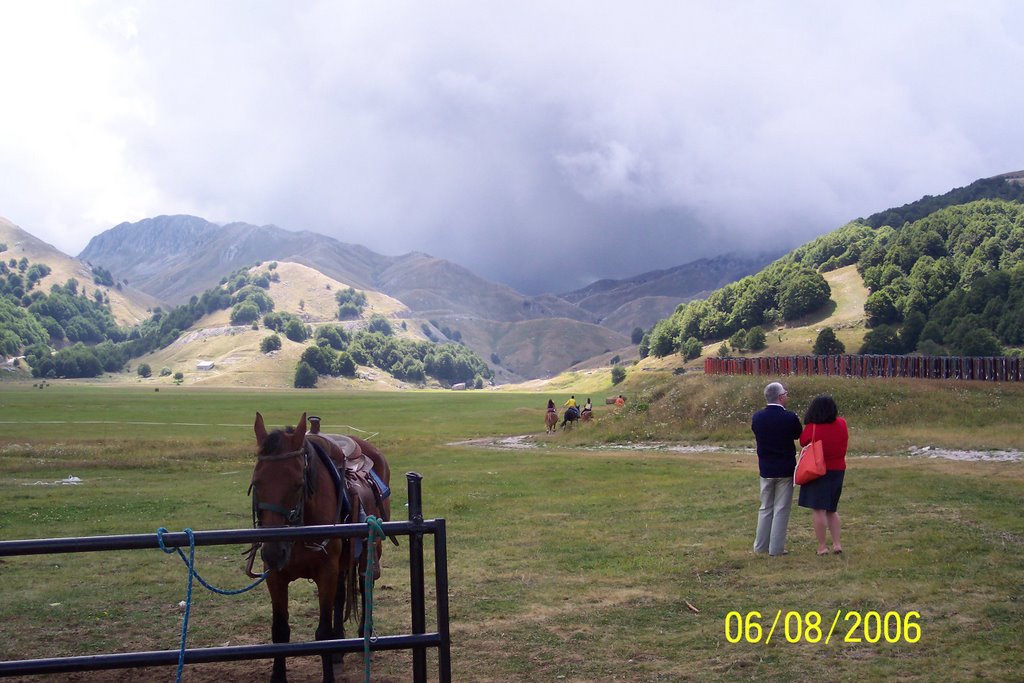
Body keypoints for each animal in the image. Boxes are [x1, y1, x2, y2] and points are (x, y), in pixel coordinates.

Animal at [249, 413, 389, 679]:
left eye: (297, 483)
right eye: (256, 482)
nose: (273, 552)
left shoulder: (326, 573)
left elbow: (322, 634)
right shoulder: (275, 576)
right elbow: (280, 630)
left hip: (369, 551)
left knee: (366, 583)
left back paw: (363, 638)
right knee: (341, 596)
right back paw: (338, 650)